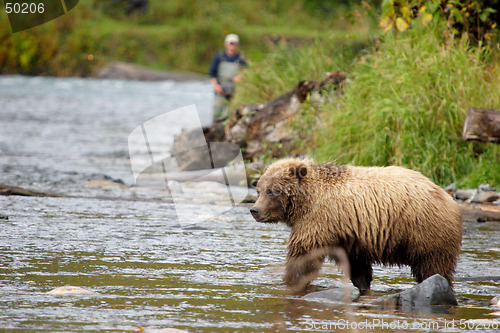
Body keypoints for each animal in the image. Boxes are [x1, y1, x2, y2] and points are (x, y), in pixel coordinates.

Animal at [252, 157, 462, 290]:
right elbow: (357, 266)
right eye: (259, 190)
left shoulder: (318, 219)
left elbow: (303, 254)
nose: (254, 210)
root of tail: (448, 198)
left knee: (433, 266)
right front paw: (362, 284)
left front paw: (288, 280)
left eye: (273, 190)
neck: (306, 201)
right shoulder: (349, 235)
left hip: (425, 230)